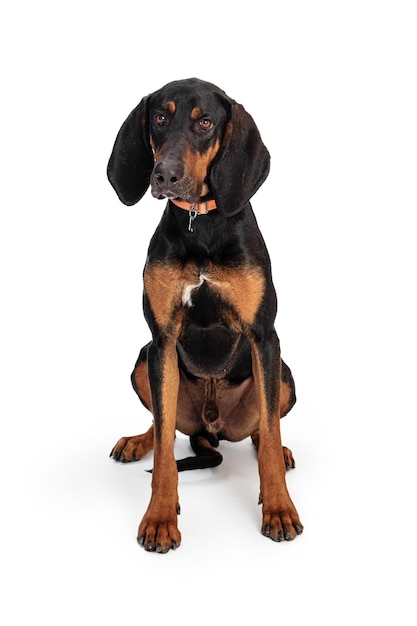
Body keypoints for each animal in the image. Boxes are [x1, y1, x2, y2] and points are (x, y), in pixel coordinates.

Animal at [107, 77, 302, 552]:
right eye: (160, 117)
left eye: (206, 123)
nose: (164, 175)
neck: (201, 224)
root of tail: (212, 429)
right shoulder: (161, 340)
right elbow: (164, 449)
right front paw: (160, 517)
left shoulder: (264, 337)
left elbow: (270, 433)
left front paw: (279, 509)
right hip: (143, 360)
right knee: (160, 424)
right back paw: (136, 441)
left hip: (285, 374)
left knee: (263, 427)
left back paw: (280, 449)